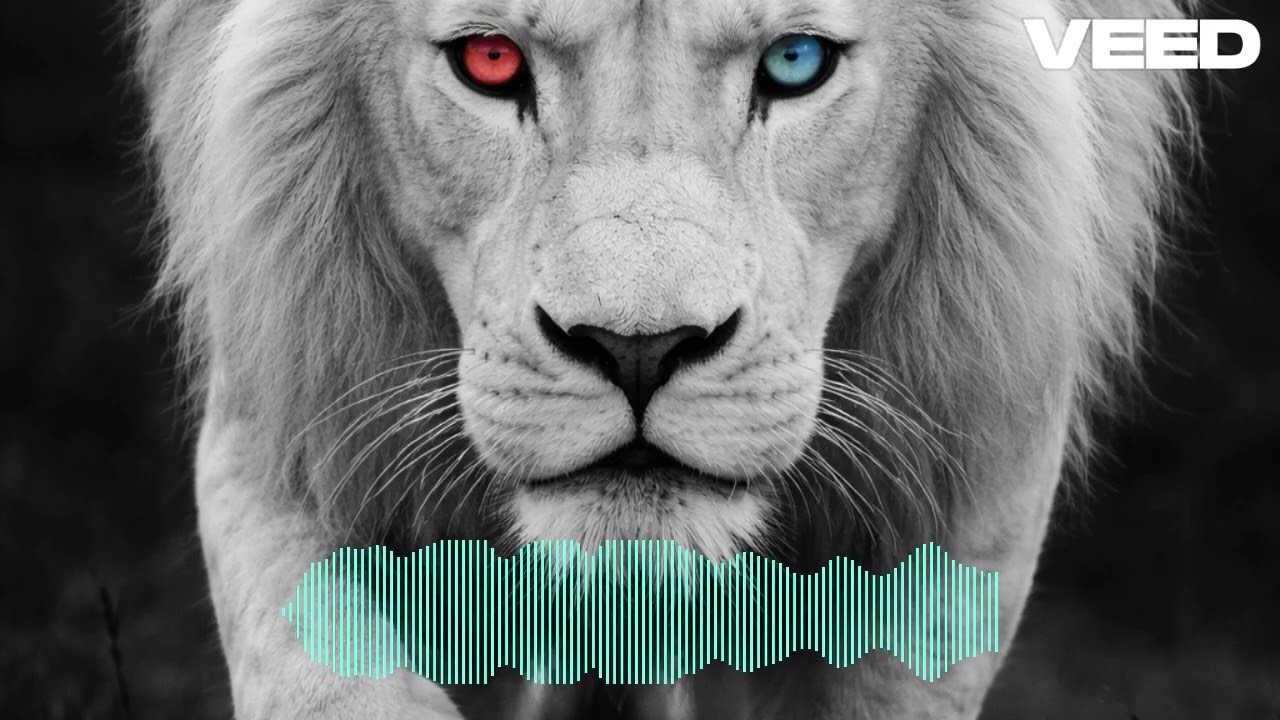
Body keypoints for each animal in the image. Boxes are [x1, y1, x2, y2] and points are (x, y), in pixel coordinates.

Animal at [132, 0, 1198, 717]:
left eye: (796, 61)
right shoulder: (279, 416)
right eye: (489, 58)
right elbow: (329, 676)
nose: (638, 349)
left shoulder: (973, 479)